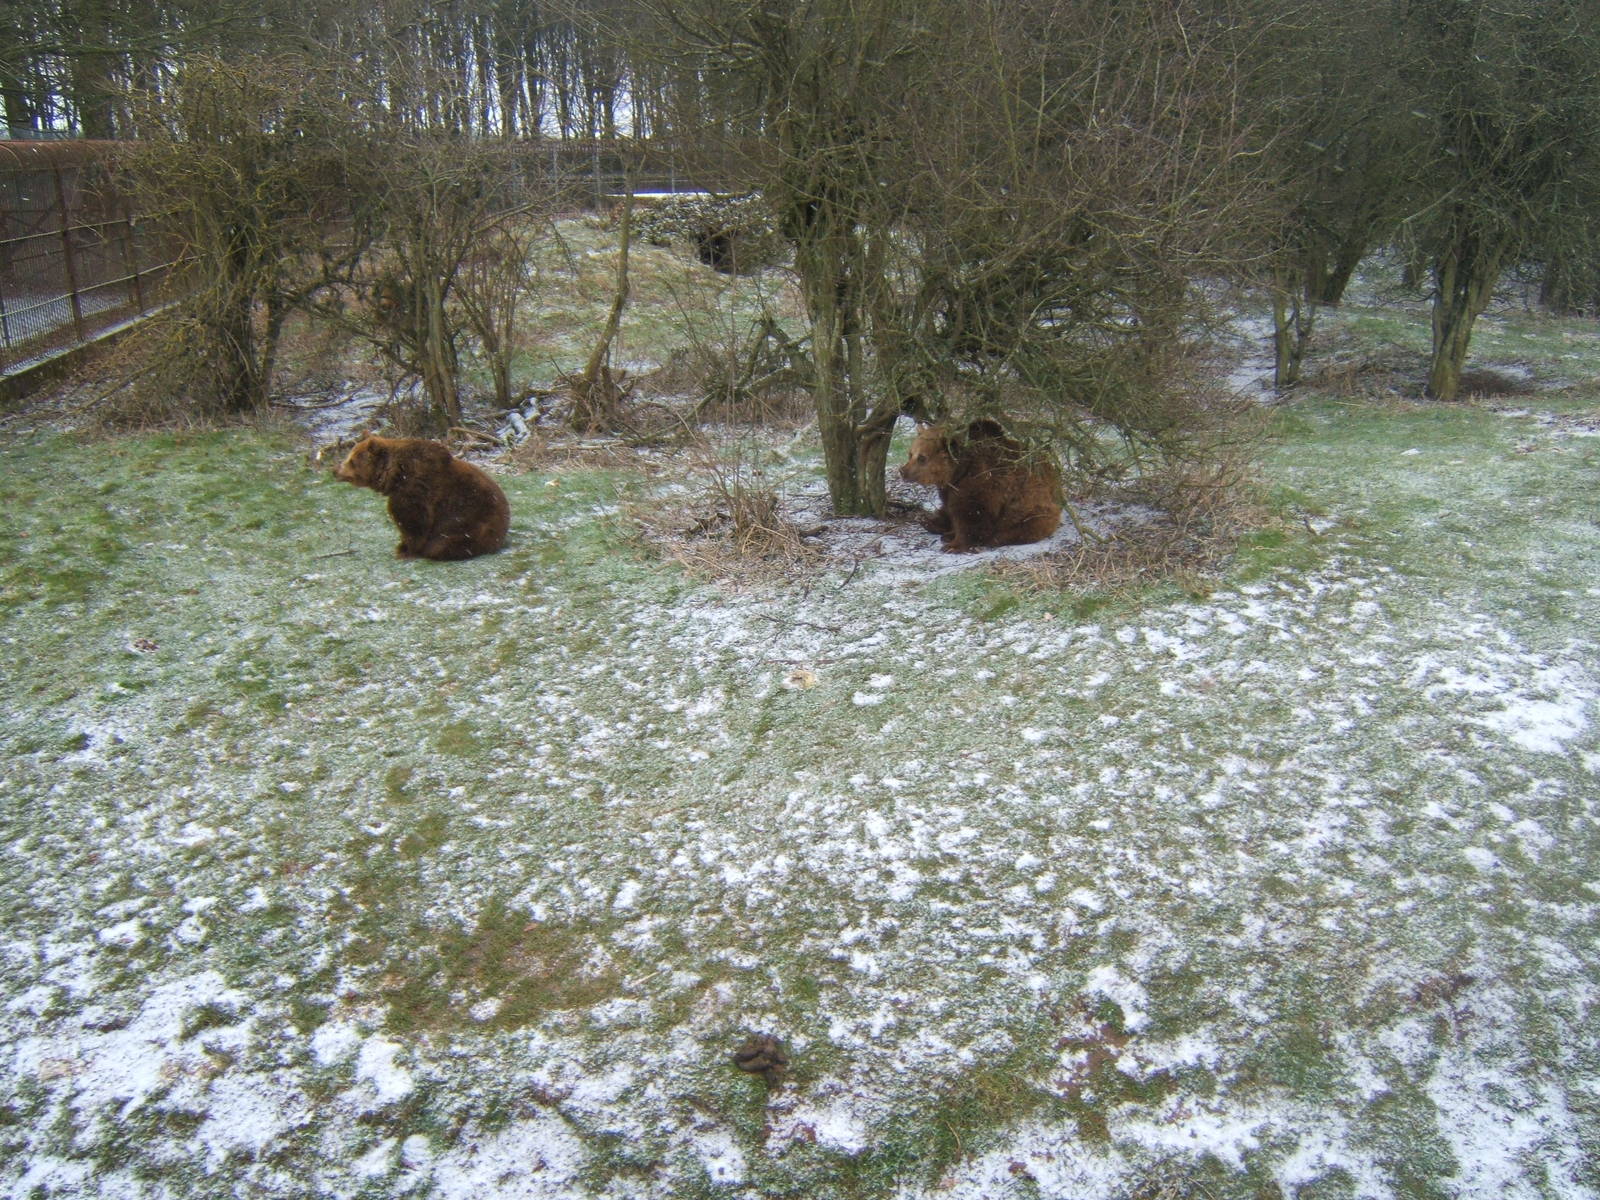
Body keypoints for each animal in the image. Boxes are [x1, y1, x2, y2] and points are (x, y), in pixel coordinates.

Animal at [334, 434, 510, 561]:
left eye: (352, 460)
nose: (335, 470)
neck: (395, 477)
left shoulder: (415, 492)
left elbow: (413, 522)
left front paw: (404, 550)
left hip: (471, 524)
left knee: (443, 544)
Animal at [898, 418, 1062, 552]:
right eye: (910, 454)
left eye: (922, 458)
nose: (903, 471)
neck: (958, 472)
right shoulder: (950, 488)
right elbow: (948, 507)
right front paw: (933, 522)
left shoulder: (980, 485)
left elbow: (971, 515)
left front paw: (953, 545)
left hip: (1031, 507)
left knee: (1021, 525)